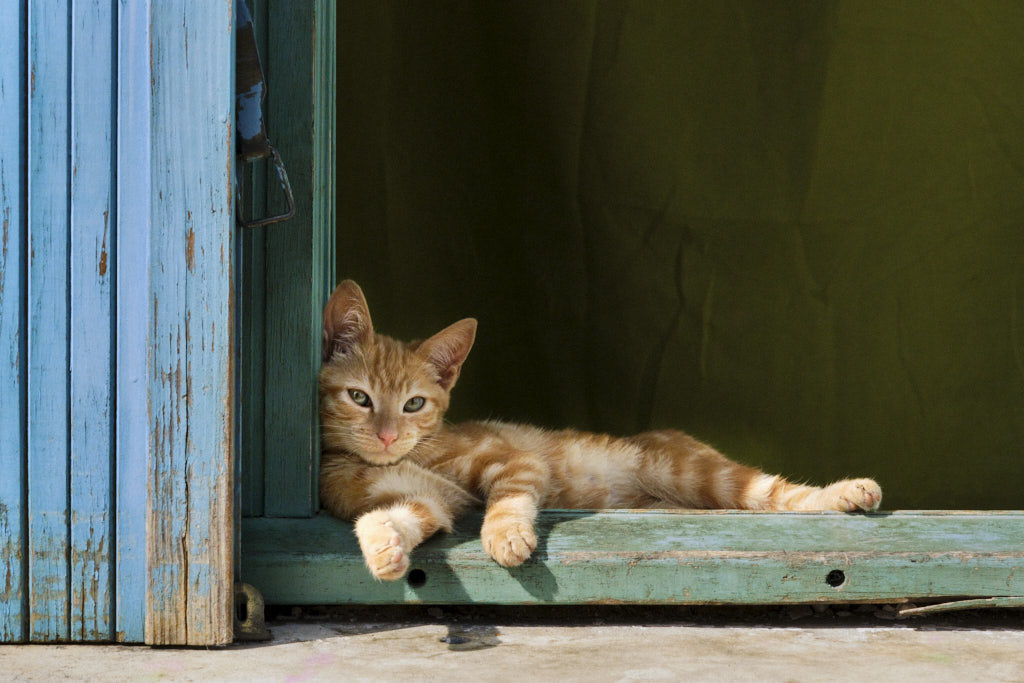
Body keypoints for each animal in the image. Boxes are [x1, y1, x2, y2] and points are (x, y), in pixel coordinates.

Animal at [319, 280, 880, 581]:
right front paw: (385, 551)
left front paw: (506, 535)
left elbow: (509, 497)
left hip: (693, 472)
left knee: (776, 495)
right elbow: (387, 517)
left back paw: (849, 492)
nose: (388, 436)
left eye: (414, 404)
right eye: (360, 398)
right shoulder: (426, 501)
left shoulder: (513, 459)